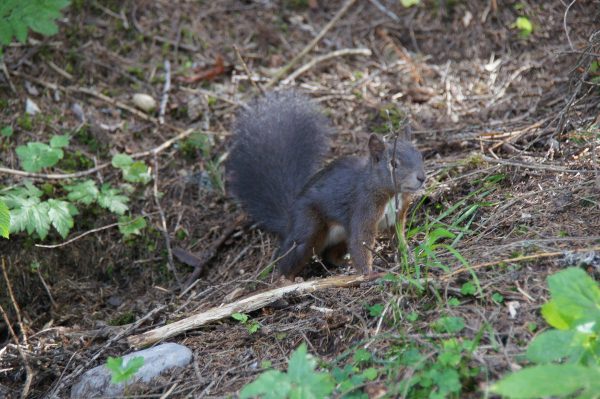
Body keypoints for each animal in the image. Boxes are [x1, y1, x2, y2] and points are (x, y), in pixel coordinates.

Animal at [226, 92, 426, 280]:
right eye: (393, 163)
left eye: (420, 155)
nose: (422, 177)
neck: (391, 193)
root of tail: (290, 218)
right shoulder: (363, 207)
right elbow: (360, 241)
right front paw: (369, 274)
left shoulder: (398, 215)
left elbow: (399, 237)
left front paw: (409, 256)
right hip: (309, 227)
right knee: (286, 259)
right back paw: (286, 280)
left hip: (339, 237)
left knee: (329, 255)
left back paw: (343, 263)